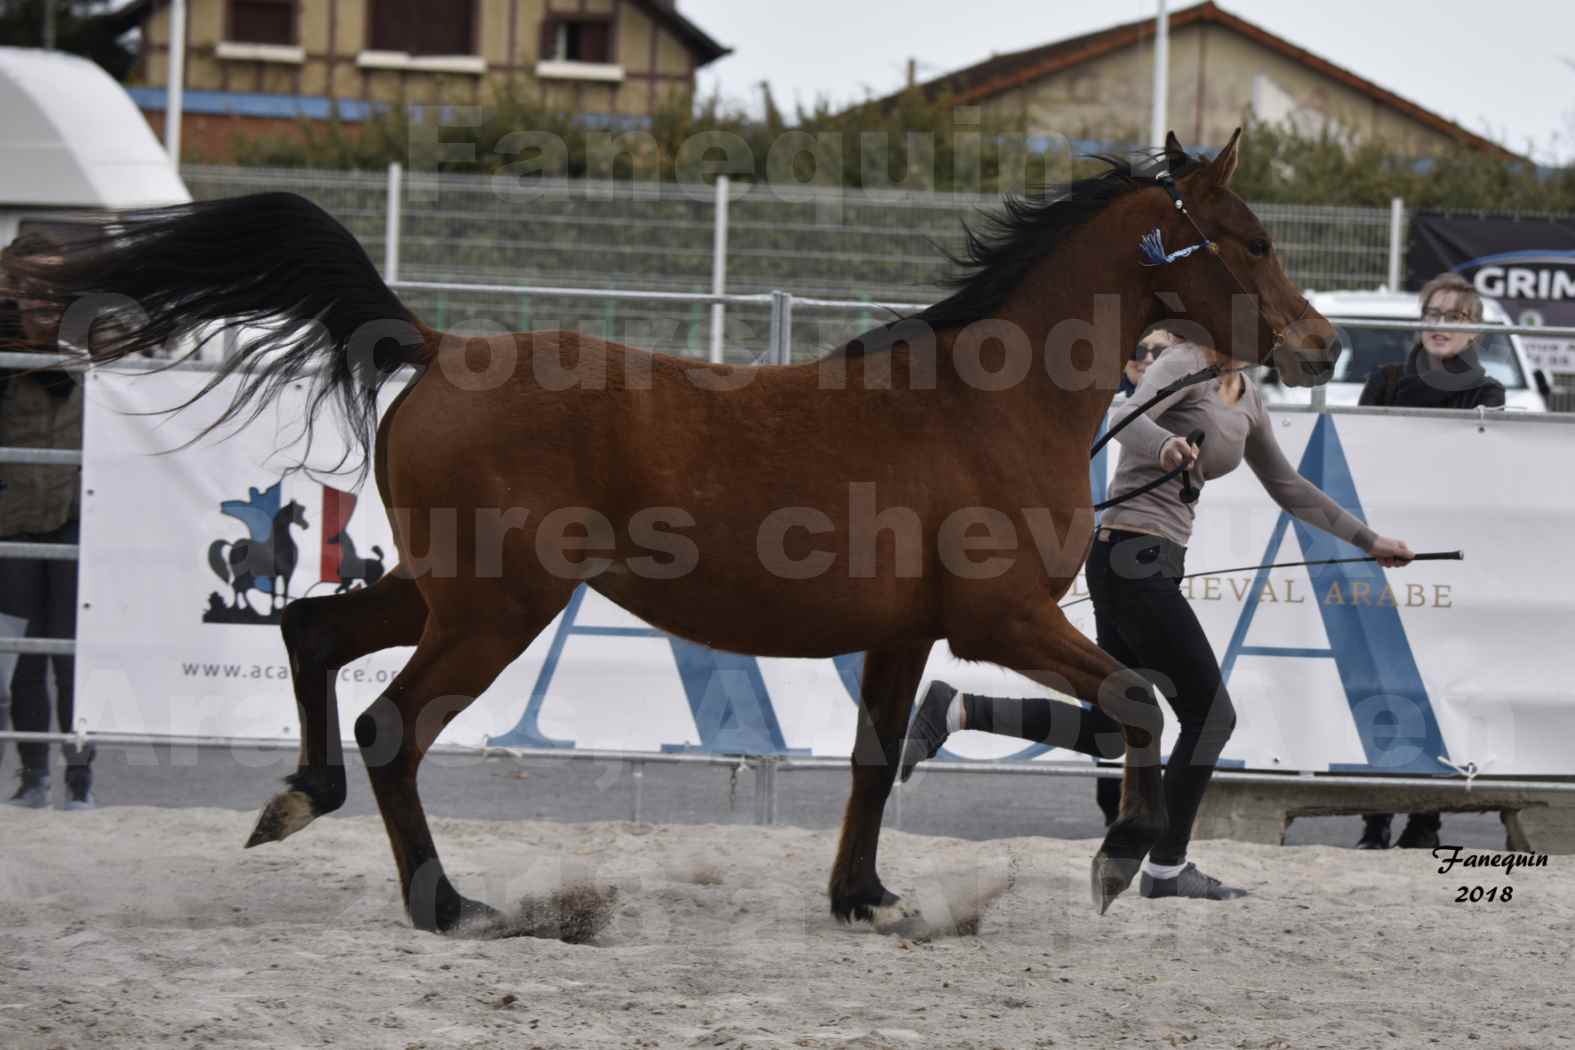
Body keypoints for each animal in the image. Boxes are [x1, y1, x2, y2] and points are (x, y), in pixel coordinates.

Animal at [12, 129, 1341, 925]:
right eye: (1255, 240)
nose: (1323, 346)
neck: (986, 402)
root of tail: (435, 346)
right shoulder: (999, 618)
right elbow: (1138, 697)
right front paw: (1116, 862)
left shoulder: (908, 634)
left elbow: (876, 757)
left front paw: (864, 897)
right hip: (497, 608)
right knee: (390, 723)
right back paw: (449, 904)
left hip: (444, 591)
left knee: (310, 634)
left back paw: (296, 802)